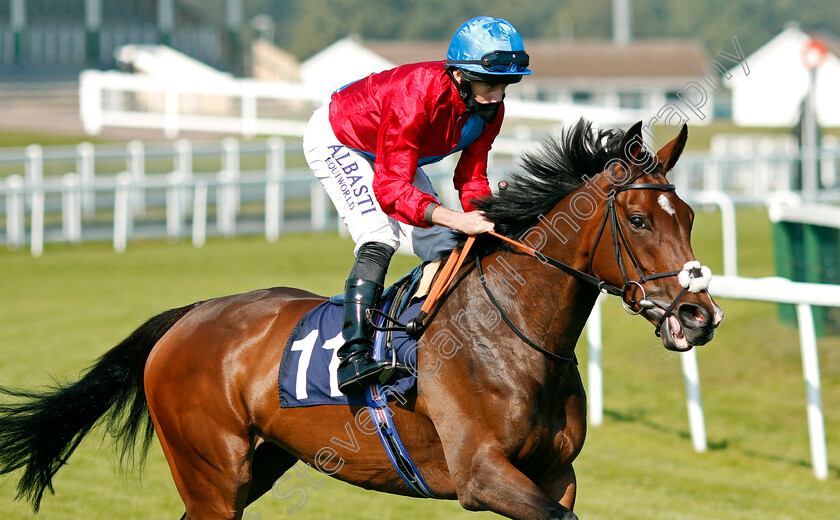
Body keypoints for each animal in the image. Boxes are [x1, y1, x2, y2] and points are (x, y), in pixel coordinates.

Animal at [0, 120, 720, 516]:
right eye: (638, 220)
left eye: (687, 215)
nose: (698, 313)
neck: (512, 335)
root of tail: (190, 316)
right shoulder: (483, 474)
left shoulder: (556, 476)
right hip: (211, 473)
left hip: (260, 464)